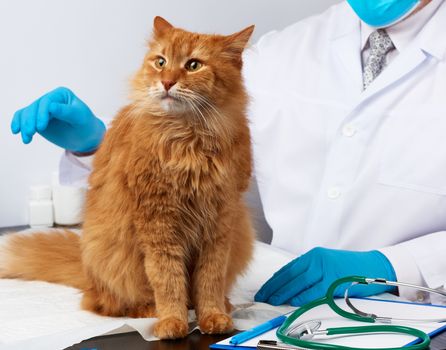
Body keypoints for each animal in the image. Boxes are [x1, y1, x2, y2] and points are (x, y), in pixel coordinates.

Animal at [0, 17, 256, 340]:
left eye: (193, 65)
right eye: (161, 62)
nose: (167, 82)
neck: (188, 140)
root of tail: (87, 271)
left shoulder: (220, 224)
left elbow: (209, 281)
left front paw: (213, 316)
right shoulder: (158, 223)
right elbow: (168, 280)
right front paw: (171, 322)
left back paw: (223, 305)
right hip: (111, 254)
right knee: (108, 303)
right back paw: (150, 310)